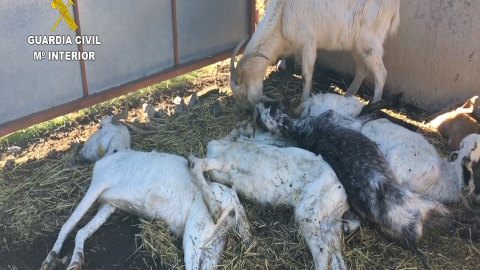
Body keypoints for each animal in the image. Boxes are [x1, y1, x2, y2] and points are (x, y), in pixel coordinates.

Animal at [40, 108, 251, 270]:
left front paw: (50, 258)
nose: (82, 153)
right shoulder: (108, 204)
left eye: (100, 127)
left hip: (195, 232)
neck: (116, 153)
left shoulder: (98, 184)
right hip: (215, 241)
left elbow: (69, 224)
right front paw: (75, 262)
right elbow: (83, 231)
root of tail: (233, 201)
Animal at [188, 122, 360, 270]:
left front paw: (214, 208)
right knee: (336, 258)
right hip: (329, 224)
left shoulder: (225, 161)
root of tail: (343, 197)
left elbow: (196, 164)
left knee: (322, 252)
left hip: (308, 210)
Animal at [231, 0, 400, 112]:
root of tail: (395, 7)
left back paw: (375, 106)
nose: (248, 111)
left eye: (244, 93)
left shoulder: (309, 41)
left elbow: (306, 74)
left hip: (370, 39)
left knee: (381, 73)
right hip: (357, 43)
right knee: (361, 69)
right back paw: (347, 96)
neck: (281, 15)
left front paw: (302, 105)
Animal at [256, 99, 448, 253]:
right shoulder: (350, 121)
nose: (259, 101)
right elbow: (372, 111)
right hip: (421, 201)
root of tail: (408, 235)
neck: (297, 129)